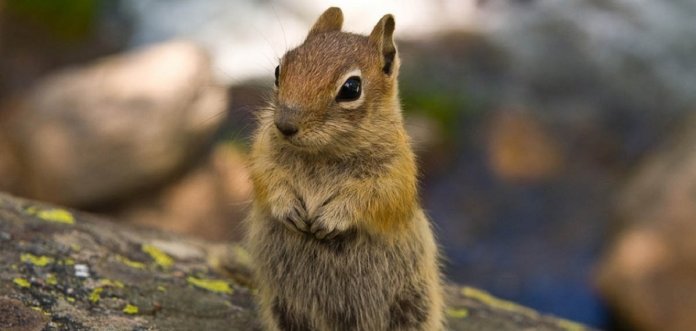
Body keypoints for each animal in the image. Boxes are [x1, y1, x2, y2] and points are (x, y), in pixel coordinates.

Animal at [249, 7, 446, 331]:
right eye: (279, 70)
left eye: (351, 88)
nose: (285, 125)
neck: (322, 154)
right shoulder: (263, 153)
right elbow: (266, 179)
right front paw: (287, 207)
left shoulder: (395, 174)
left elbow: (377, 198)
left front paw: (332, 218)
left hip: (412, 304)